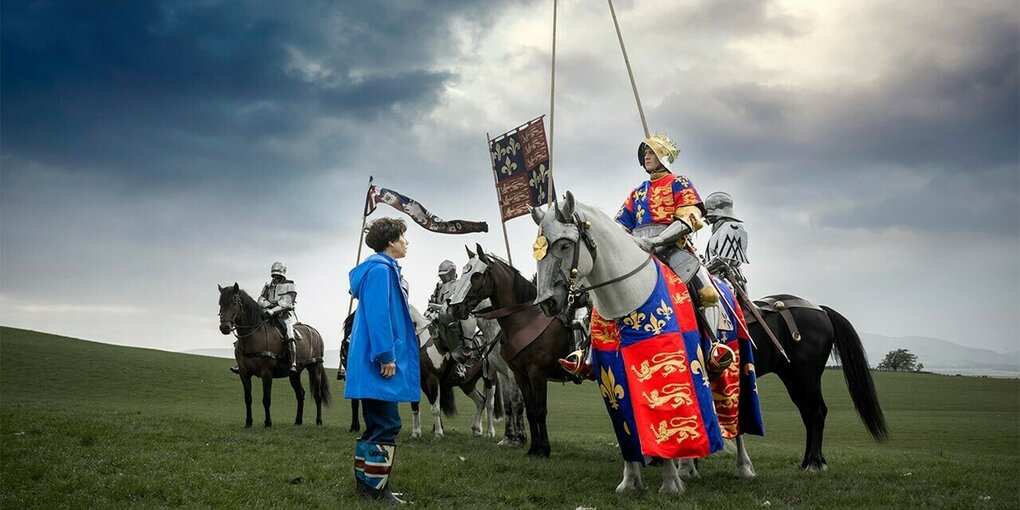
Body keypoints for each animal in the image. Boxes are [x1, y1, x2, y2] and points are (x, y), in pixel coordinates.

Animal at [217, 283, 332, 426]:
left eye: (234, 302)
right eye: (220, 303)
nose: (224, 327)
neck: (253, 336)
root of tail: (315, 332)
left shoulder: (267, 373)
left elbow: (266, 399)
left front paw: (268, 422)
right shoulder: (244, 373)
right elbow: (248, 398)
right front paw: (248, 422)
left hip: (315, 368)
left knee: (317, 396)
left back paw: (319, 421)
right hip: (295, 374)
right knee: (300, 394)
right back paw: (298, 421)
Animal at [530, 191, 754, 493]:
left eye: (565, 245)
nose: (546, 302)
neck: (628, 296)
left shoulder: (663, 369)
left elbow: (663, 419)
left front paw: (669, 484)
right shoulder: (611, 375)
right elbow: (626, 425)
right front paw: (630, 481)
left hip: (731, 366)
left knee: (735, 416)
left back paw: (744, 467)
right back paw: (687, 467)